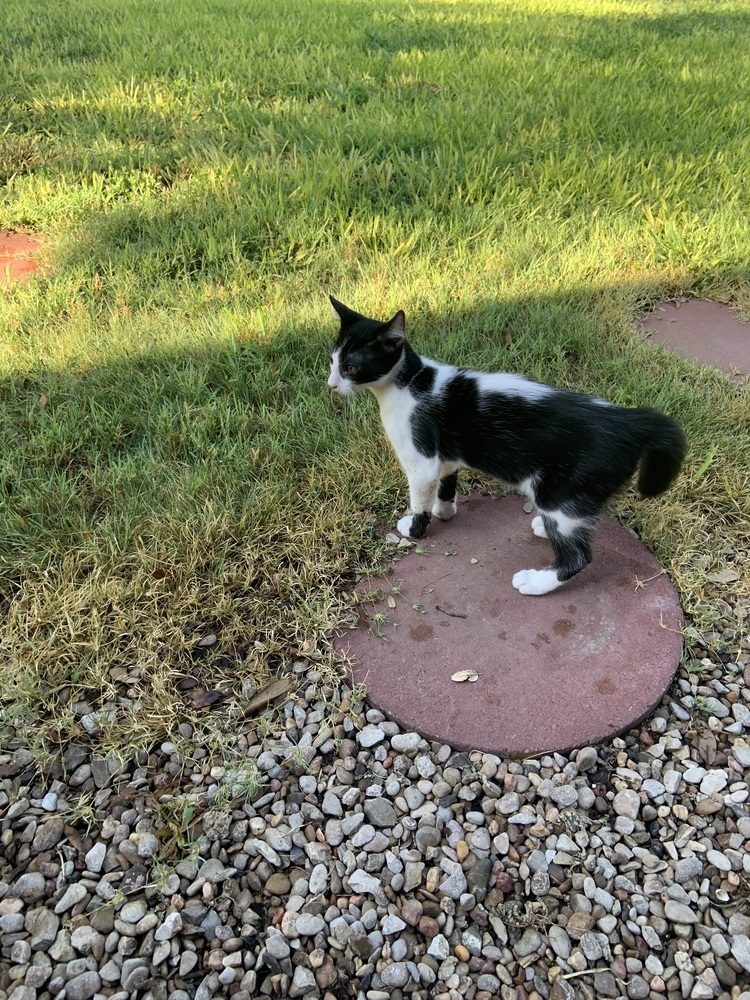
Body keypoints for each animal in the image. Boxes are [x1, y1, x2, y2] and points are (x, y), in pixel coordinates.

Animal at [326, 296, 692, 592]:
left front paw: (415, 528)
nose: (331, 384)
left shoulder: (421, 460)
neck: (410, 382)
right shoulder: (446, 458)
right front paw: (445, 512)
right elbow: (446, 485)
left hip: (559, 490)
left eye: (351, 367)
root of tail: (630, 421)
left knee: (579, 556)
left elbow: (420, 499)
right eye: (332, 361)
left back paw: (536, 581)